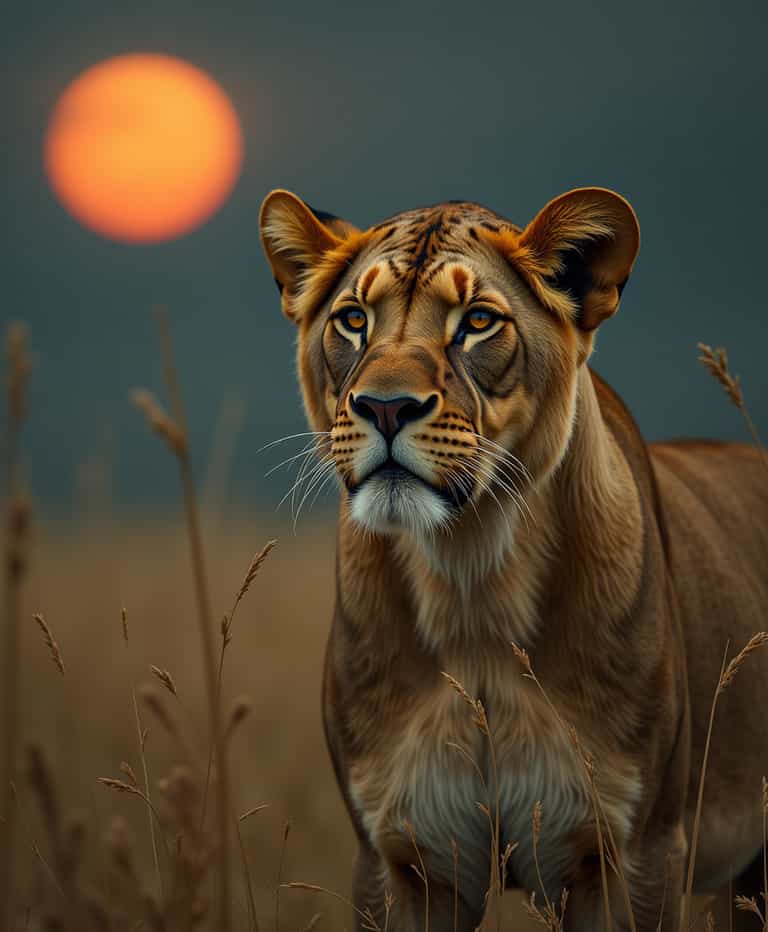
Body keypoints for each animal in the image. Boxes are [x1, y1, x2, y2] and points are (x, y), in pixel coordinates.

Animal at [259, 186, 768, 931]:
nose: (384, 407)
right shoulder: (400, 860)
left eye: (476, 323)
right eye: (353, 320)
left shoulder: (634, 853)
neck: (469, 577)